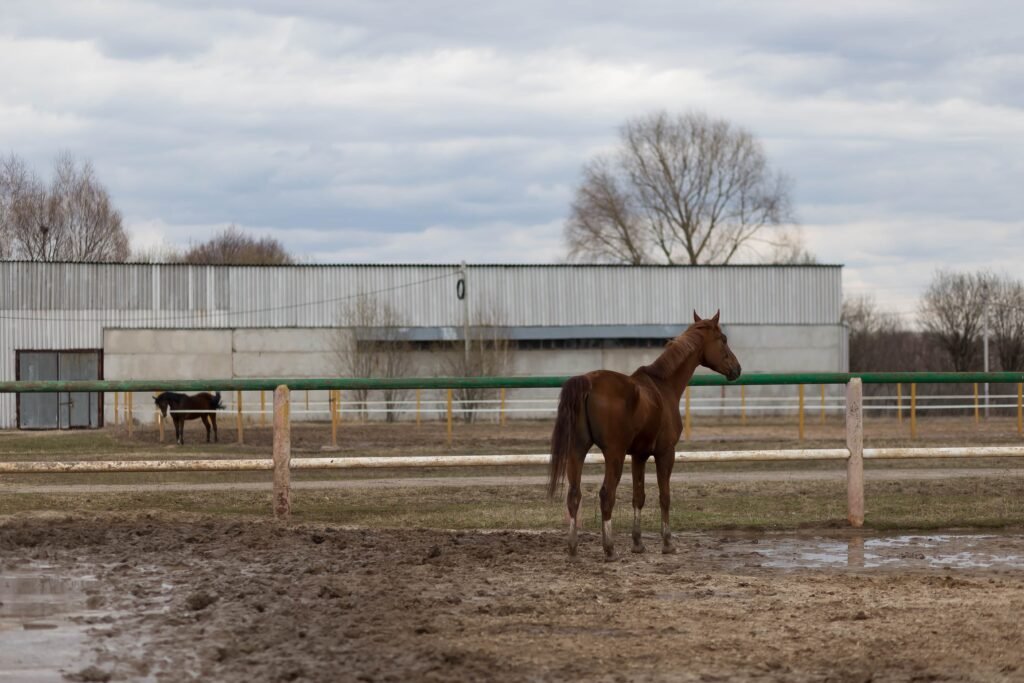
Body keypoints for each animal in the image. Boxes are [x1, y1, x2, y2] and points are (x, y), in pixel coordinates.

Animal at [548, 310, 741, 560]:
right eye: (723, 339)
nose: (737, 369)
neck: (663, 385)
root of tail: (587, 382)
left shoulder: (639, 455)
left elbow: (638, 497)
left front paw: (638, 543)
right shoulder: (665, 453)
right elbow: (664, 497)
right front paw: (667, 543)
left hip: (577, 449)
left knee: (574, 495)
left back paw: (573, 548)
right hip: (614, 454)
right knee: (606, 495)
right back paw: (609, 549)